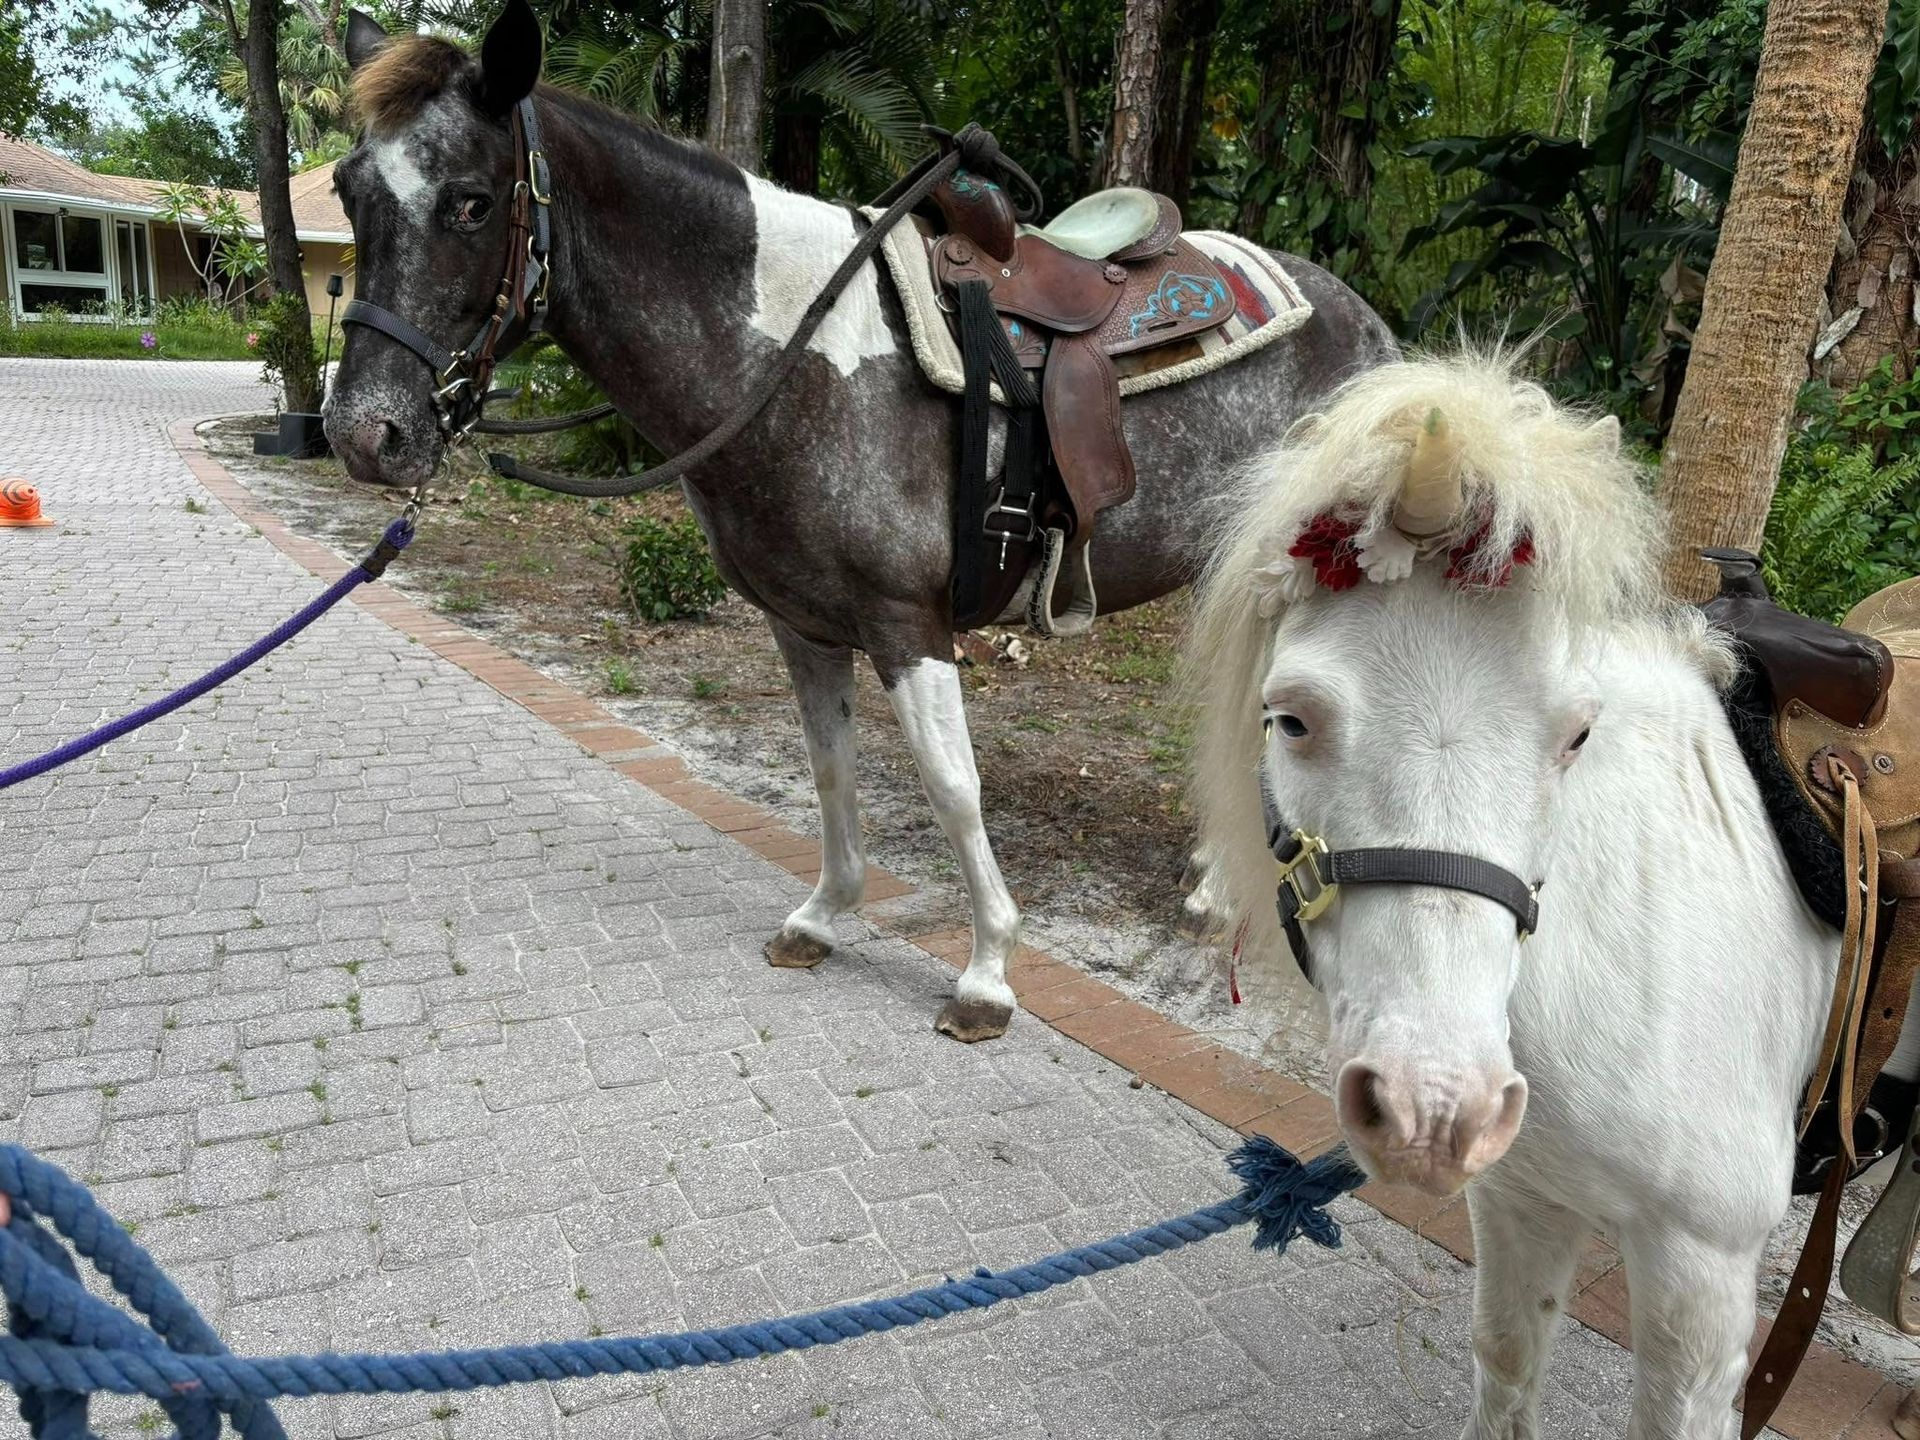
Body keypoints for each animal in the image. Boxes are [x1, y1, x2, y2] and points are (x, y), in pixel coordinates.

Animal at [320, 0, 1398, 1043]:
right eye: (348, 190)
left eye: (470, 200)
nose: (365, 431)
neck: (792, 361)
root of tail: (1364, 323)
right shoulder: (804, 624)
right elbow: (831, 770)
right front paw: (825, 917)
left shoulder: (906, 622)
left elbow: (951, 786)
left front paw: (987, 975)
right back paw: (1219, 886)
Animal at [1181, 352, 1902, 1437]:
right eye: (1290, 718)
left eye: (1575, 734)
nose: (1434, 1109)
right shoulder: (1522, 1199)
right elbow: (1508, 1368)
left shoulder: (1703, 1281)